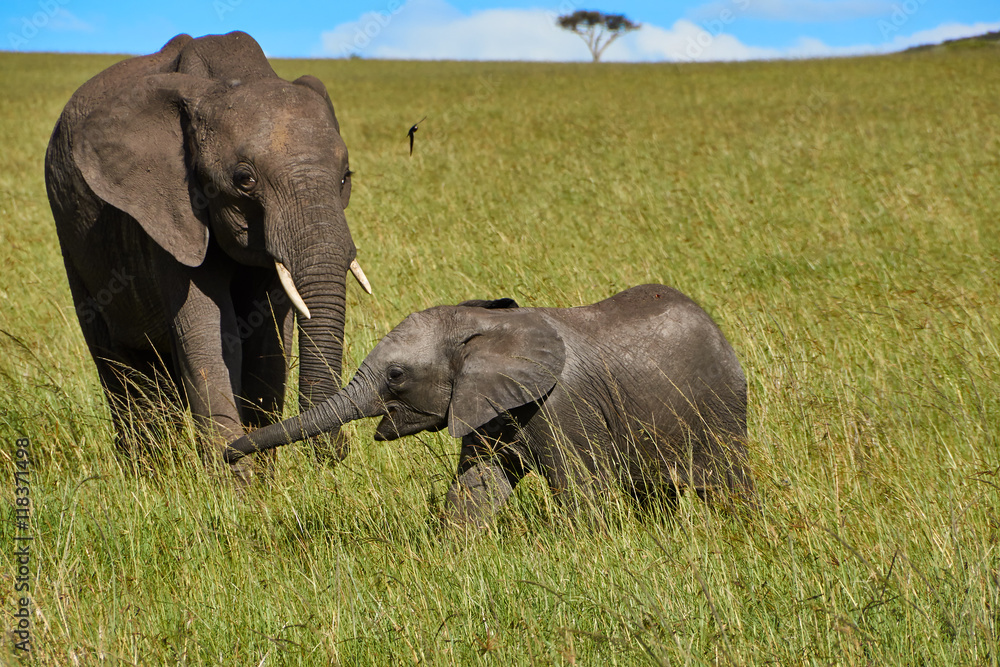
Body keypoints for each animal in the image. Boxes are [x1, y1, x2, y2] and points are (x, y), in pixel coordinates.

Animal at [45, 32, 372, 475]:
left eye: (344, 178)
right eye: (244, 180)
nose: (339, 453)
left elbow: (268, 339)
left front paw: (262, 479)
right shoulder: (169, 208)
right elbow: (211, 334)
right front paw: (234, 480)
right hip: (72, 237)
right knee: (120, 365)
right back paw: (148, 473)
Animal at [225, 285, 754, 525]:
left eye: (396, 376)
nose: (228, 453)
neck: (482, 326)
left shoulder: (562, 404)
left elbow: (584, 492)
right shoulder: (487, 403)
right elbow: (475, 488)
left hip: (722, 409)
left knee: (728, 484)